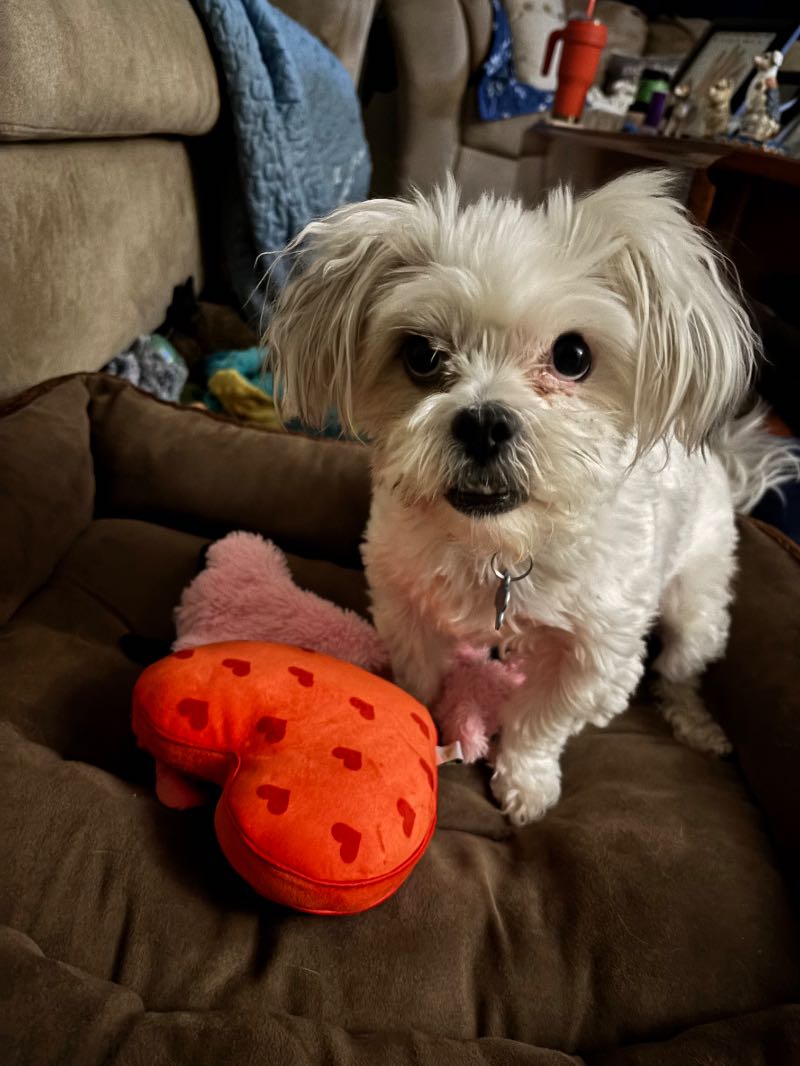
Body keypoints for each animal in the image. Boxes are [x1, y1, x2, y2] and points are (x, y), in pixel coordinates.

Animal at [267, 172, 797, 825]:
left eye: (573, 356)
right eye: (421, 355)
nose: (484, 423)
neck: (502, 547)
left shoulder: (595, 655)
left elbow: (541, 721)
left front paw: (525, 777)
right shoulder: (406, 604)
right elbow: (420, 677)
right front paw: (416, 723)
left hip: (696, 605)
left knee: (681, 667)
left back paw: (695, 721)